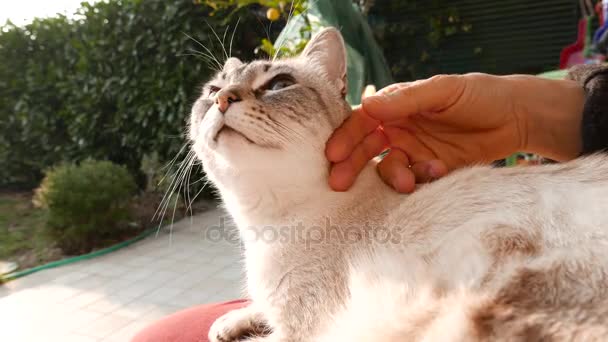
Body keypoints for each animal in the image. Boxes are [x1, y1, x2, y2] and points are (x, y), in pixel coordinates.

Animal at [188, 28, 608, 340]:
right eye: (212, 92)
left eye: (278, 84)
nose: (224, 99)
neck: (262, 225)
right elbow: (255, 307)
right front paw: (227, 323)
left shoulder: (301, 330)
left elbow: (267, 328)